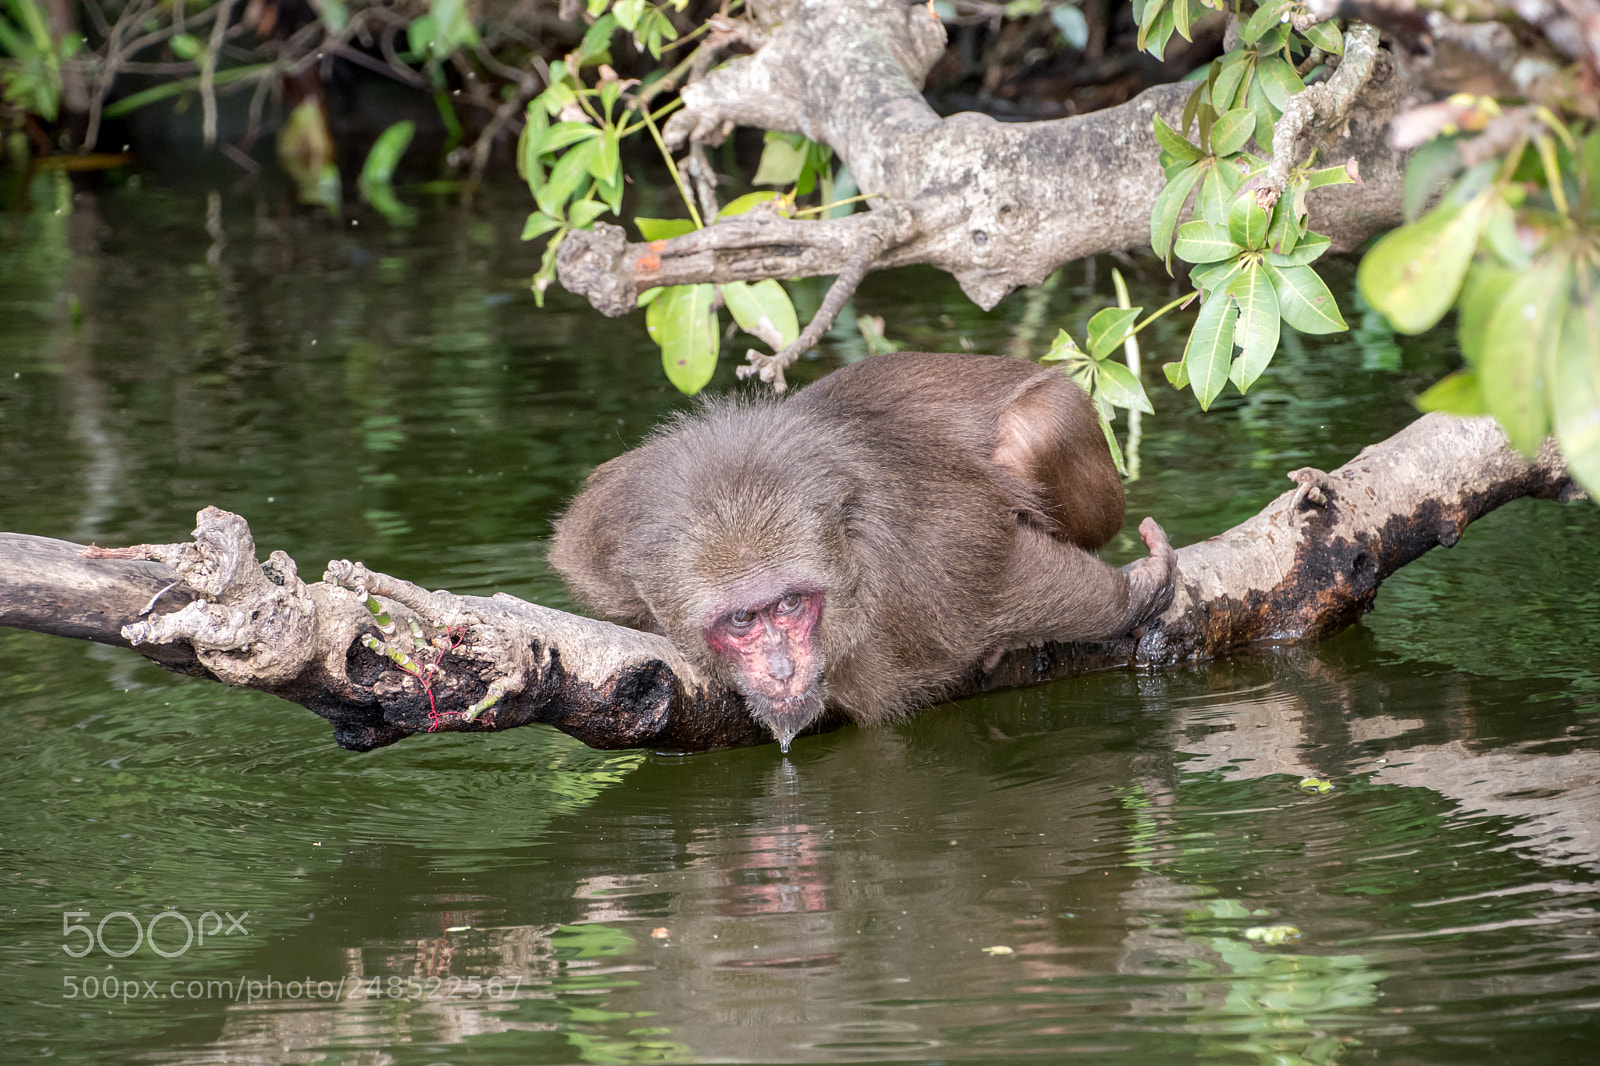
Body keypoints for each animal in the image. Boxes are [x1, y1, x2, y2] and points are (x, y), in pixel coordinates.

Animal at [548, 351, 1177, 752]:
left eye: (790, 605)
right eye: (742, 619)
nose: (781, 669)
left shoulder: (927, 568)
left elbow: (1002, 568)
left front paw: (1134, 593)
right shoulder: (606, 531)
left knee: (1033, 428)